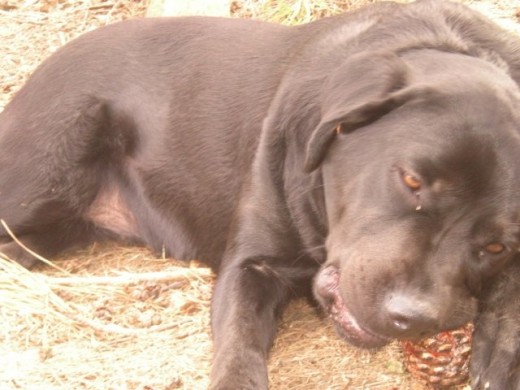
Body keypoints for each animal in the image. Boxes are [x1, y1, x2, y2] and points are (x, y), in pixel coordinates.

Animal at [3, 0, 520, 388]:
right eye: (411, 180)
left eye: (498, 246)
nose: (412, 317)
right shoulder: (252, 265)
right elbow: (239, 346)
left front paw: (503, 344)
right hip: (46, 171)